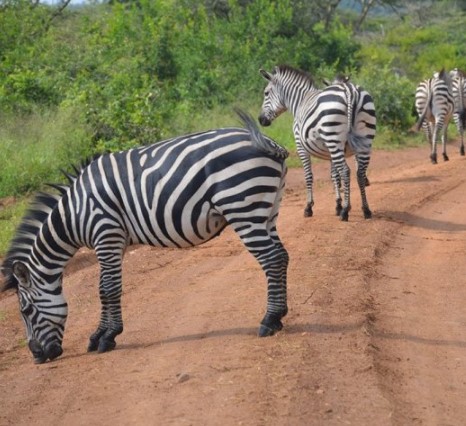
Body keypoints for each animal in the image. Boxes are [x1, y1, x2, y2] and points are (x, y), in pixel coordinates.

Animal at [0, 110, 292, 362]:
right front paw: (99, 335)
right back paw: (279, 317)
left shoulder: (106, 233)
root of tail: (268, 142)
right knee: (281, 256)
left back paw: (269, 321)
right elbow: (104, 288)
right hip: (267, 210)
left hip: (242, 207)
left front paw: (107, 337)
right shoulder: (113, 242)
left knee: (271, 259)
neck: (74, 214)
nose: (37, 357)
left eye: (26, 311)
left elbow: (107, 289)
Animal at [258, 65, 374, 223]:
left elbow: (309, 176)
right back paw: (366, 210)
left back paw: (345, 212)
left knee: (346, 171)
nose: (260, 120)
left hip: (334, 138)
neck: (300, 102)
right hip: (363, 139)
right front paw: (338, 205)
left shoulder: (301, 146)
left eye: (266, 93)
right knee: (360, 173)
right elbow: (334, 176)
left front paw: (309, 207)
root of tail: (350, 90)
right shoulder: (331, 151)